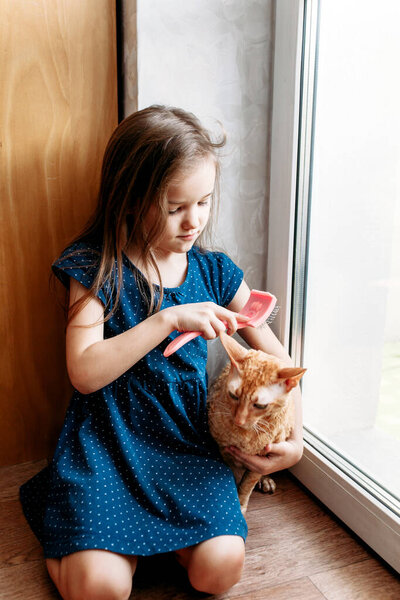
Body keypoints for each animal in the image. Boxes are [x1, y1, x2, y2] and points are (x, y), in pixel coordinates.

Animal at [208, 330, 304, 512]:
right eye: (233, 396)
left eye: (260, 405)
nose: (239, 420)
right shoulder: (223, 449)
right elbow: (233, 474)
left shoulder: (262, 460)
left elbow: (248, 483)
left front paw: (241, 502)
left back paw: (265, 480)